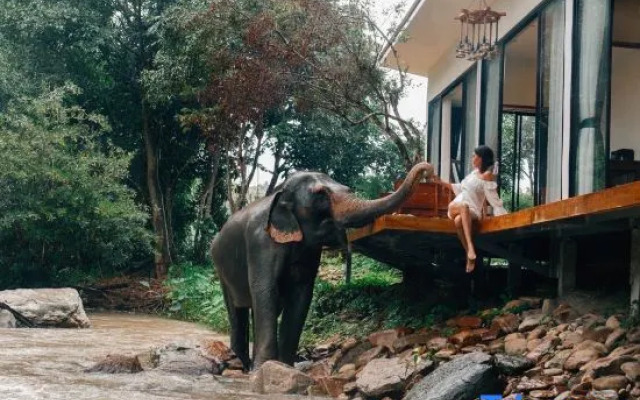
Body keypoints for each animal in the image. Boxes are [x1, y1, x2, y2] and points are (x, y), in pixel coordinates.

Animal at [210, 161, 434, 370]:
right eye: (320, 195)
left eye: (347, 189)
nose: (428, 170)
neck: (279, 192)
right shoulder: (261, 242)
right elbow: (266, 290)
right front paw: (263, 368)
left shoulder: (309, 251)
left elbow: (301, 295)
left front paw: (284, 366)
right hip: (220, 267)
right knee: (237, 310)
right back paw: (240, 364)